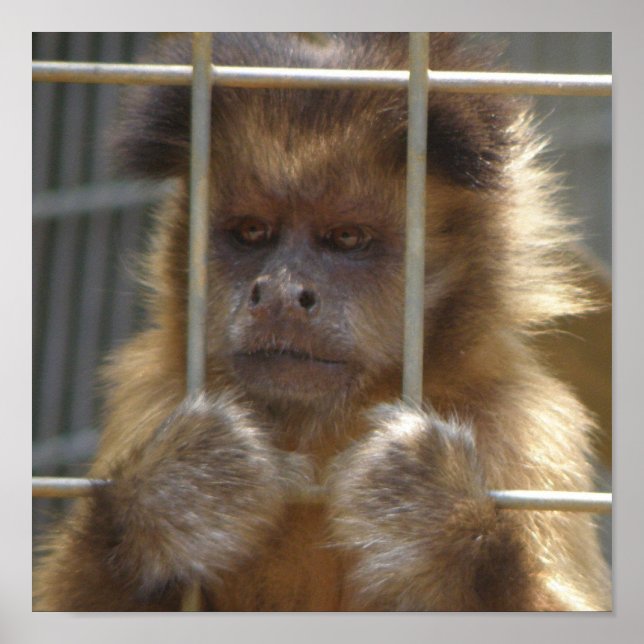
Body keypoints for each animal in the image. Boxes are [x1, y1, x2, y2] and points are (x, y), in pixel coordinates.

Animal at [33, 32, 611, 611]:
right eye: (252, 231)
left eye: (346, 237)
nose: (280, 294)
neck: (322, 430)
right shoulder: (149, 397)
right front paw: (168, 499)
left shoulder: (526, 424)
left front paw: (445, 529)